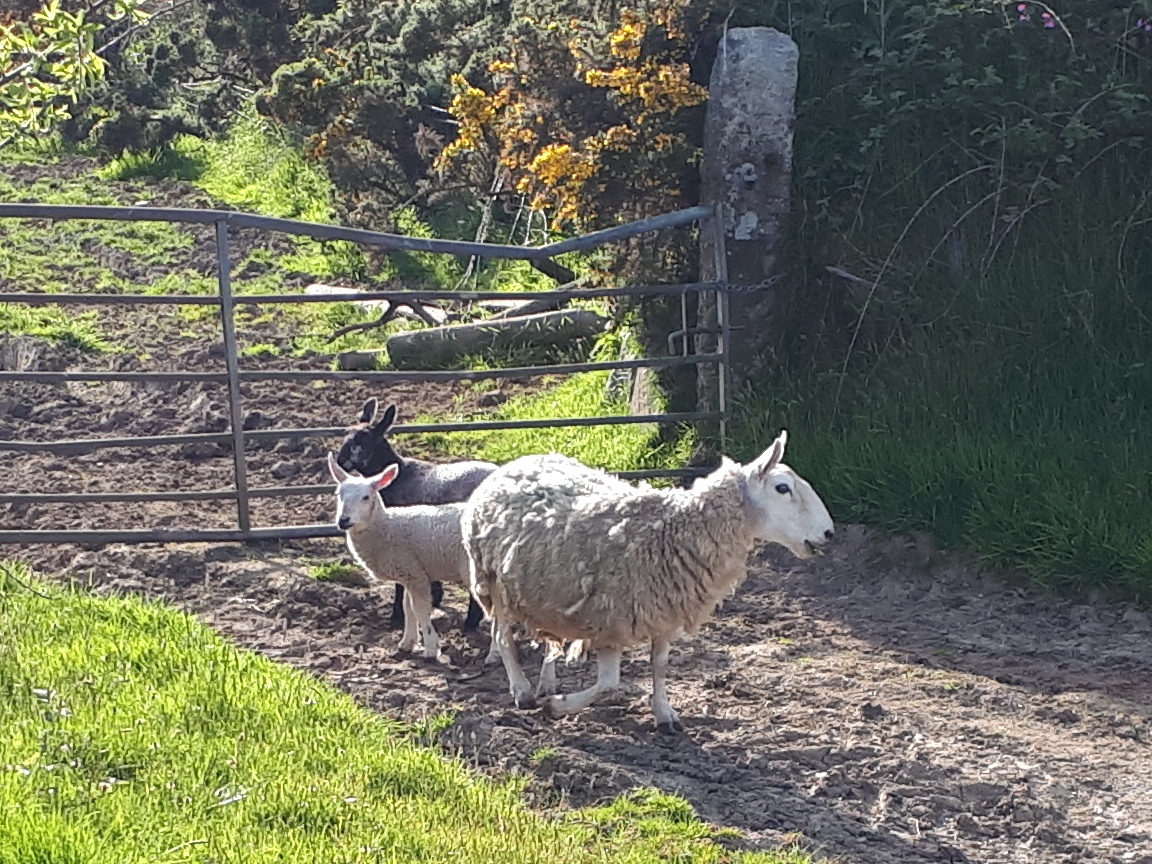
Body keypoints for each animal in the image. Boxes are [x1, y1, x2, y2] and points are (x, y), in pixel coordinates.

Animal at [327, 452, 470, 660]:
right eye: (339, 495)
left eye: (366, 497)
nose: (343, 520)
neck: (386, 526)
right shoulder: (409, 574)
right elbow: (407, 608)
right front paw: (407, 642)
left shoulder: (415, 573)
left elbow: (420, 610)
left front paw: (431, 648)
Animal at [336, 397, 496, 632]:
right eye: (346, 432)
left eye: (363, 439)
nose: (340, 460)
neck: (398, 475)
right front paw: (435, 597)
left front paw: (396, 617)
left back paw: (470, 623)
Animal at [462, 431, 835, 732]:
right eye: (782, 488)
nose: (829, 533)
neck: (676, 530)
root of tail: (512, 464)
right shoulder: (610, 620)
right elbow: (609, 684)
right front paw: (558, 707)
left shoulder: (664, 612)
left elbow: (660, 667)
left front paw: (664, 714)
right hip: (494, 583)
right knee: (502, 637)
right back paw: (523, 691)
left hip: (539, 593)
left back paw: (546, 683)